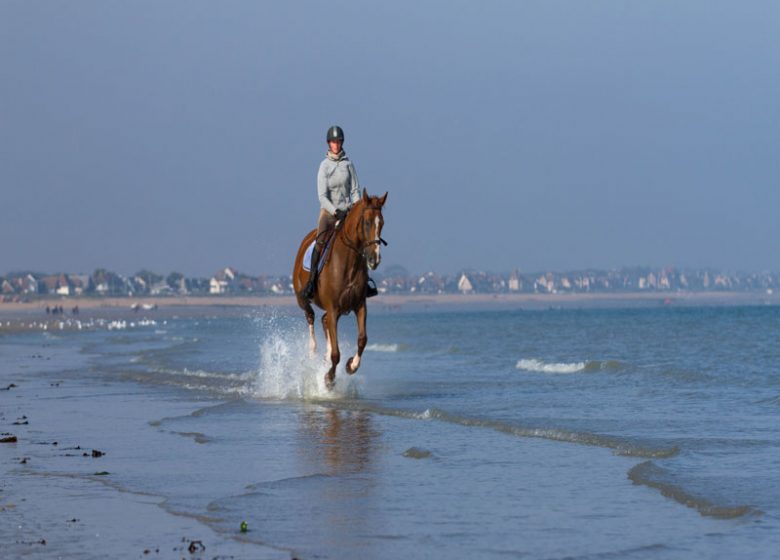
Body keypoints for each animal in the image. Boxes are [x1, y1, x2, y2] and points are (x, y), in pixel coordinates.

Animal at [294, 190, 388, 388]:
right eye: (367, 222)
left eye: (382, 223)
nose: (374, 260)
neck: (348, 260)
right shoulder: (333, 308)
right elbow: (336, 353)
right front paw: (329, 378)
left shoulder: (359, 306)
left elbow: (362, 339)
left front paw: (351, 365)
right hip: (302, 299)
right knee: (310, 316)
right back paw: (313, 350)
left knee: (323, 321)